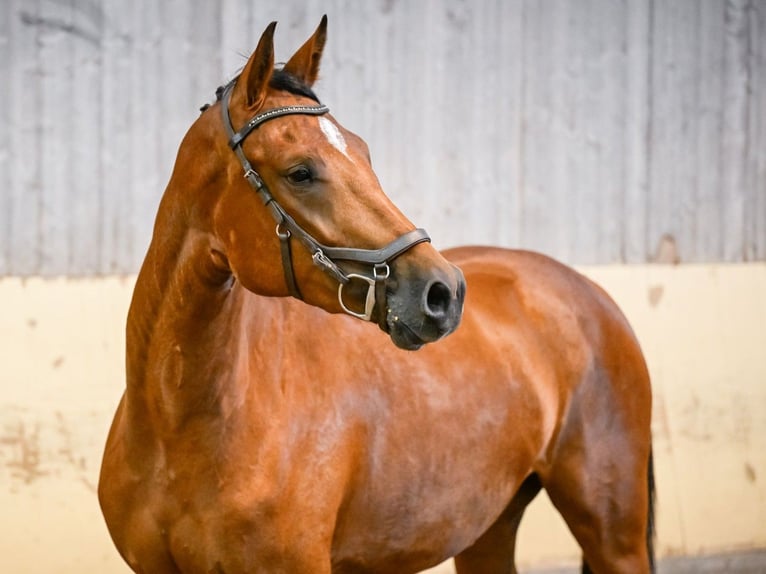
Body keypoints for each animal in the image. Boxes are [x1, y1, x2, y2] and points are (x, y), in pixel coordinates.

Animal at [99, 16, 654, 574]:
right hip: (486, 531)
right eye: (300, 171)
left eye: (363, 152)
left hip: (613, 537)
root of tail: (590, 293)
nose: (444, 292)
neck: (179, 427)